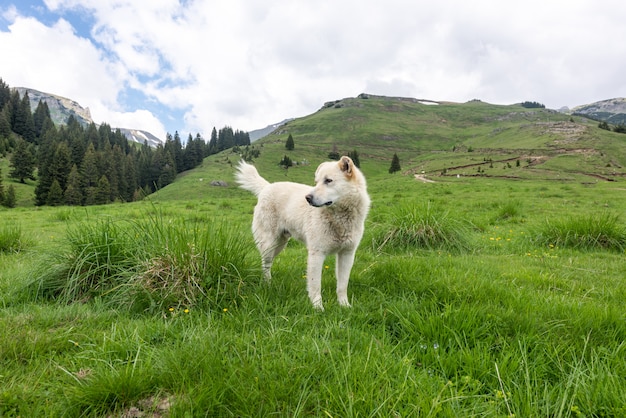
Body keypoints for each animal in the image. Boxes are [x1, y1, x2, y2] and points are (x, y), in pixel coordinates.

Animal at [236, 155, 368, 308]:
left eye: (328, 180)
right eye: (316, 182)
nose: (308, 198)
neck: (340, 217)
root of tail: (267, 187)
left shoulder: (347, 254)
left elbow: (342, 285)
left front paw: (344, 306)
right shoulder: (317, 254)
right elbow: (315, 285)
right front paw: (318, 308)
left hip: (280, 244)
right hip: (269, 244)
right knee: (265, 264)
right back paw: (267, 285)